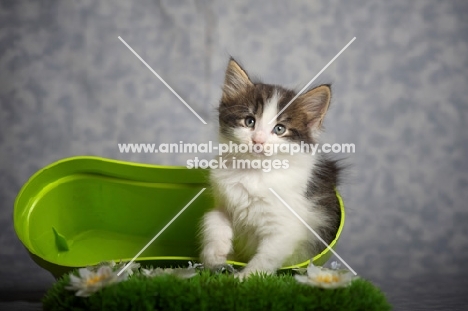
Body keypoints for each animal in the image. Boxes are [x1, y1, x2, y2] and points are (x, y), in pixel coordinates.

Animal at [199, 58, 342, 280]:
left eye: (280, 129)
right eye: (249, 121)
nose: (258, 140)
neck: (253, 172)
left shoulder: (286, 227)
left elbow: (266, 257)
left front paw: (244, 278)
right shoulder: (222, 204)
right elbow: (213, 223)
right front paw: (214, 258)